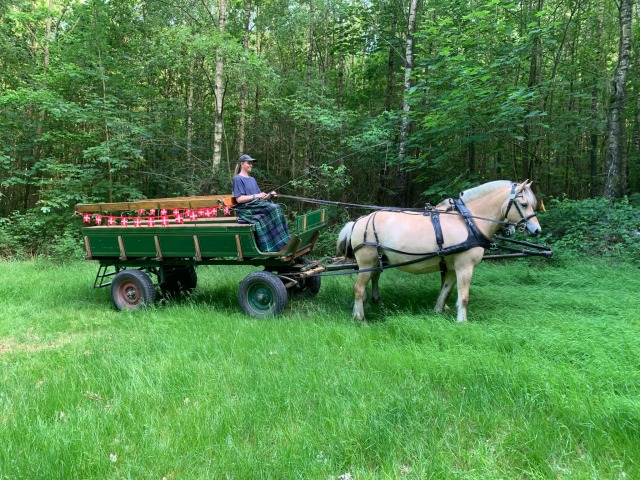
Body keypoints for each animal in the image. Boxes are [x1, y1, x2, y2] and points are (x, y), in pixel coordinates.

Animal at [338, 180, 544, 322]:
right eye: (524, 204)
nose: (536, 230)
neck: (469, 221)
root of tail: (358, 222)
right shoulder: (465, 267)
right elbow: (464, 296)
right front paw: (462, 321)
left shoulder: (453, 267)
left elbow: (445, 290)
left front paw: (437, 312)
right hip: (367, 262)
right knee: (358, 288)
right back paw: (359, 317)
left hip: (376, 261)